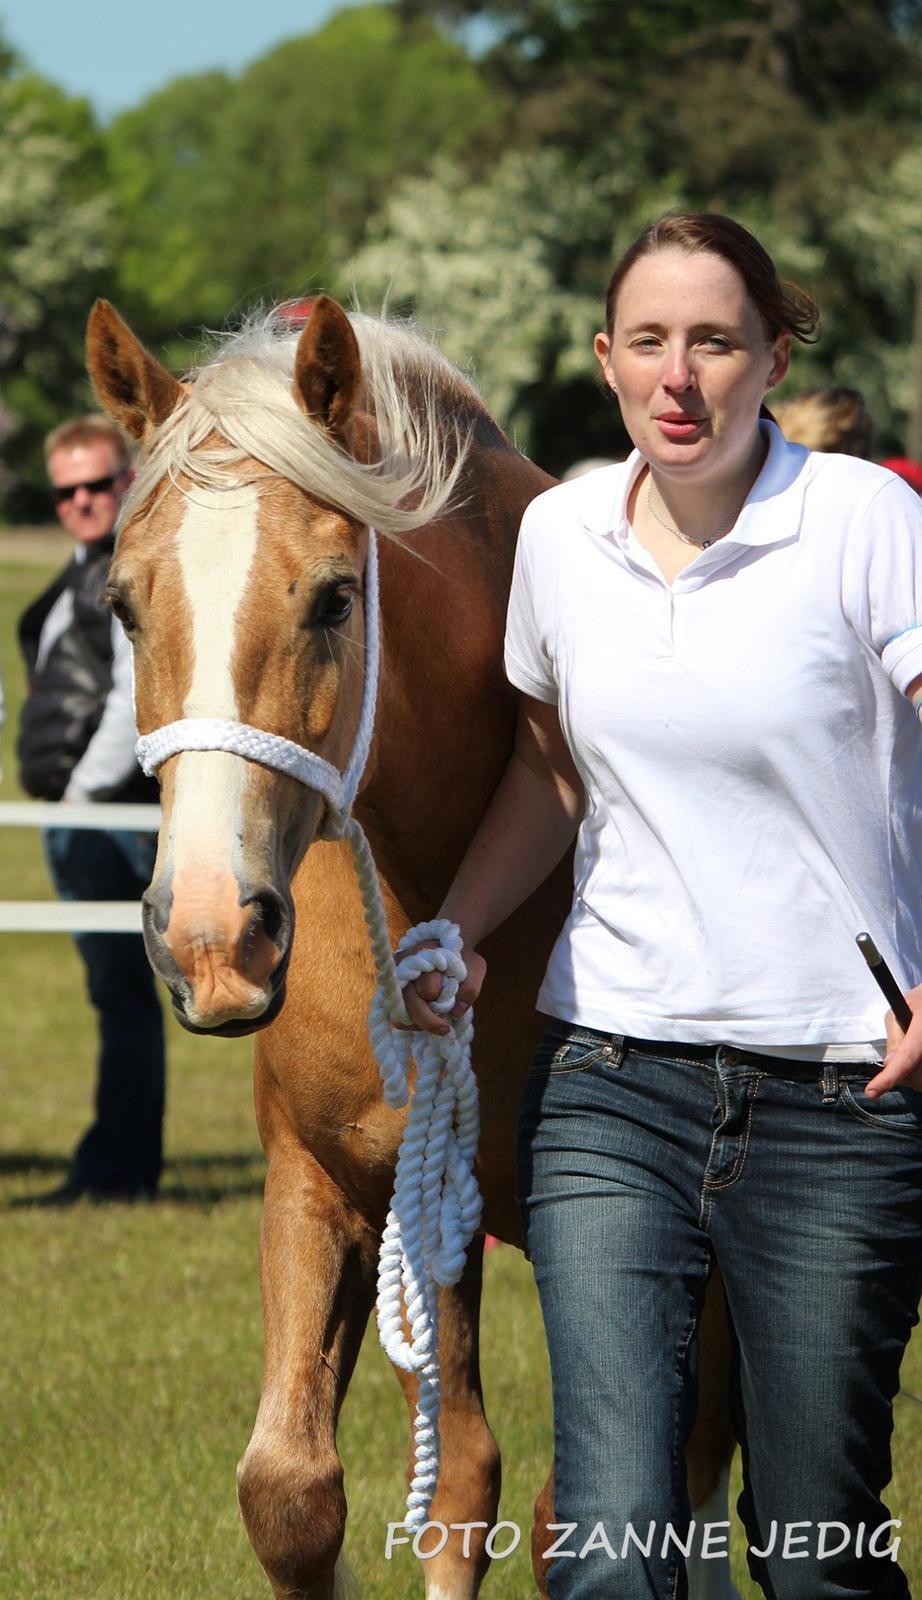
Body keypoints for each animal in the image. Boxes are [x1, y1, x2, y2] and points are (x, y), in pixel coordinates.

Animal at [84, 294, 736, 1593]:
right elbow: (304, 1491)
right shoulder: (332, 1182)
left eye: (337, 596)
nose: (212, 939)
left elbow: (596, 1507)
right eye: (124, 605)